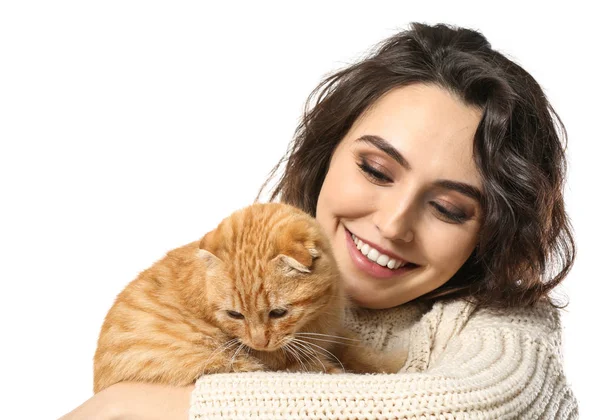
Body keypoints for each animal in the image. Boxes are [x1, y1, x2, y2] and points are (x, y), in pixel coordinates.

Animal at [92, 202, 404, 392]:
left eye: (278, 313)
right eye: (235, 315)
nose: (258, 343)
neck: (317, 320)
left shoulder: (334, 335)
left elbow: (358, 350)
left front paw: (391, 363)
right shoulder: (296, 365)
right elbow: (338, 373)